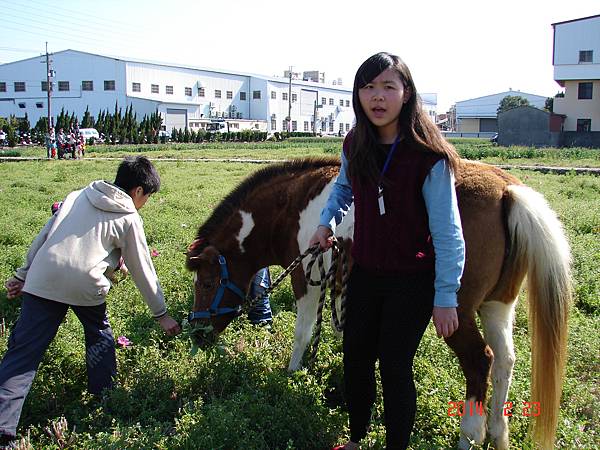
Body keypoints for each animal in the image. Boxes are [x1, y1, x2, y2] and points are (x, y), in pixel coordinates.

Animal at [186, 156, 572, 448]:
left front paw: (292, 373)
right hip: (497, 306)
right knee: (505, 360)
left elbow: (302, 332)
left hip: (457, 315)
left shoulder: (306, 280)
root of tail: (506, 189)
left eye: (206, 282)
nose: (197, 333)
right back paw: (496, 433)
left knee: (480, 362)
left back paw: (469, 436)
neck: (291, 207)